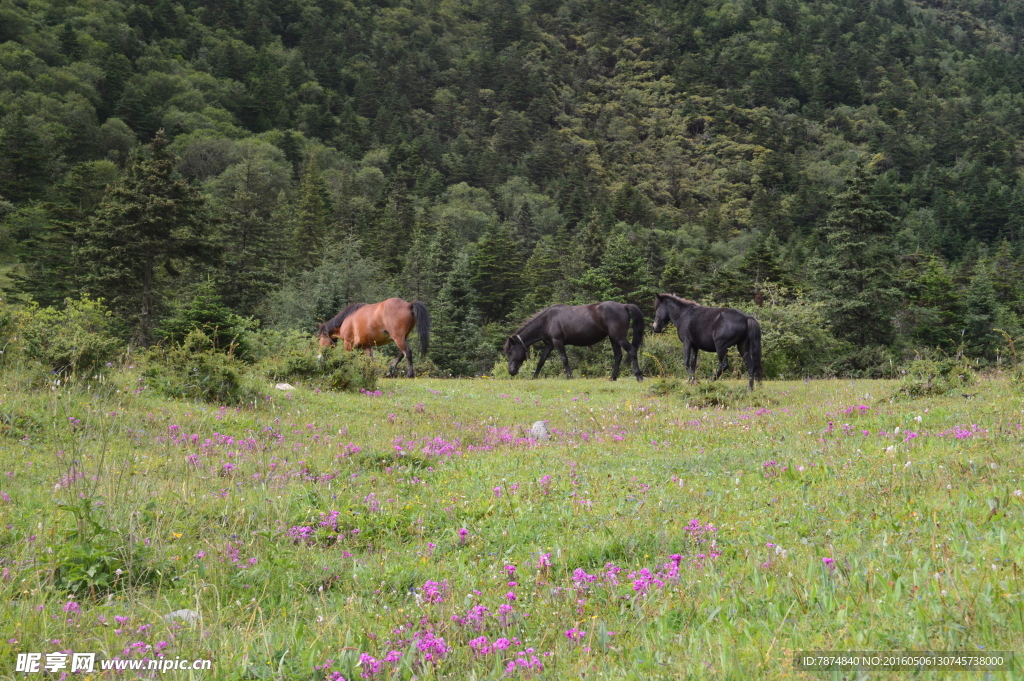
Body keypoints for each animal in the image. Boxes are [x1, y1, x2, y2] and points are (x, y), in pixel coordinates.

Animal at [501, 301, 638, 378]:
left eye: (510, 352)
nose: (511, 371)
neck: (547, 320)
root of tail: (624, 306)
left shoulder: (558, 342)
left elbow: (564, 359)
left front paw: (569, 376)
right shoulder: (549, 344)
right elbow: (541, 361)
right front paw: (534, 377)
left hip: (619, 338)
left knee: (632, 351)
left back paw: (638, 376)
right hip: (613, 339)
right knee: (618, 356)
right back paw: (612, 378)